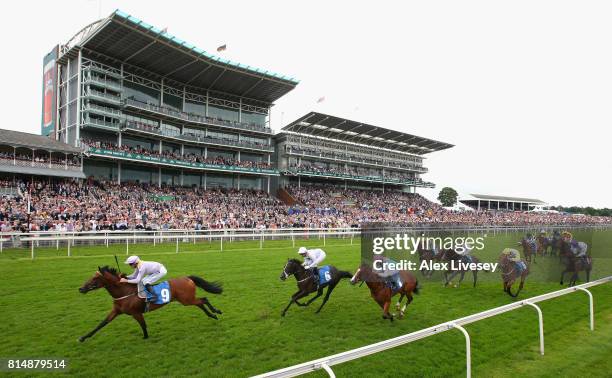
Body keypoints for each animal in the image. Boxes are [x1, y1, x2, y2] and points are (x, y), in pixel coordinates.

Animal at [77, 264, 222, 342]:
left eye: (95, 278)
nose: (81, 289)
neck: (124, 292)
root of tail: (187, 278)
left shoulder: (136, 313)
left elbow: (143, 325)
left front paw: (146, 337)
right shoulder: (116, 311)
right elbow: (101, 324)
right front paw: (83, 337)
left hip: (187, 300)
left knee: (203, 299)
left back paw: (216, 312)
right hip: (187, 300)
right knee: (200, 303)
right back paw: (212, 315)